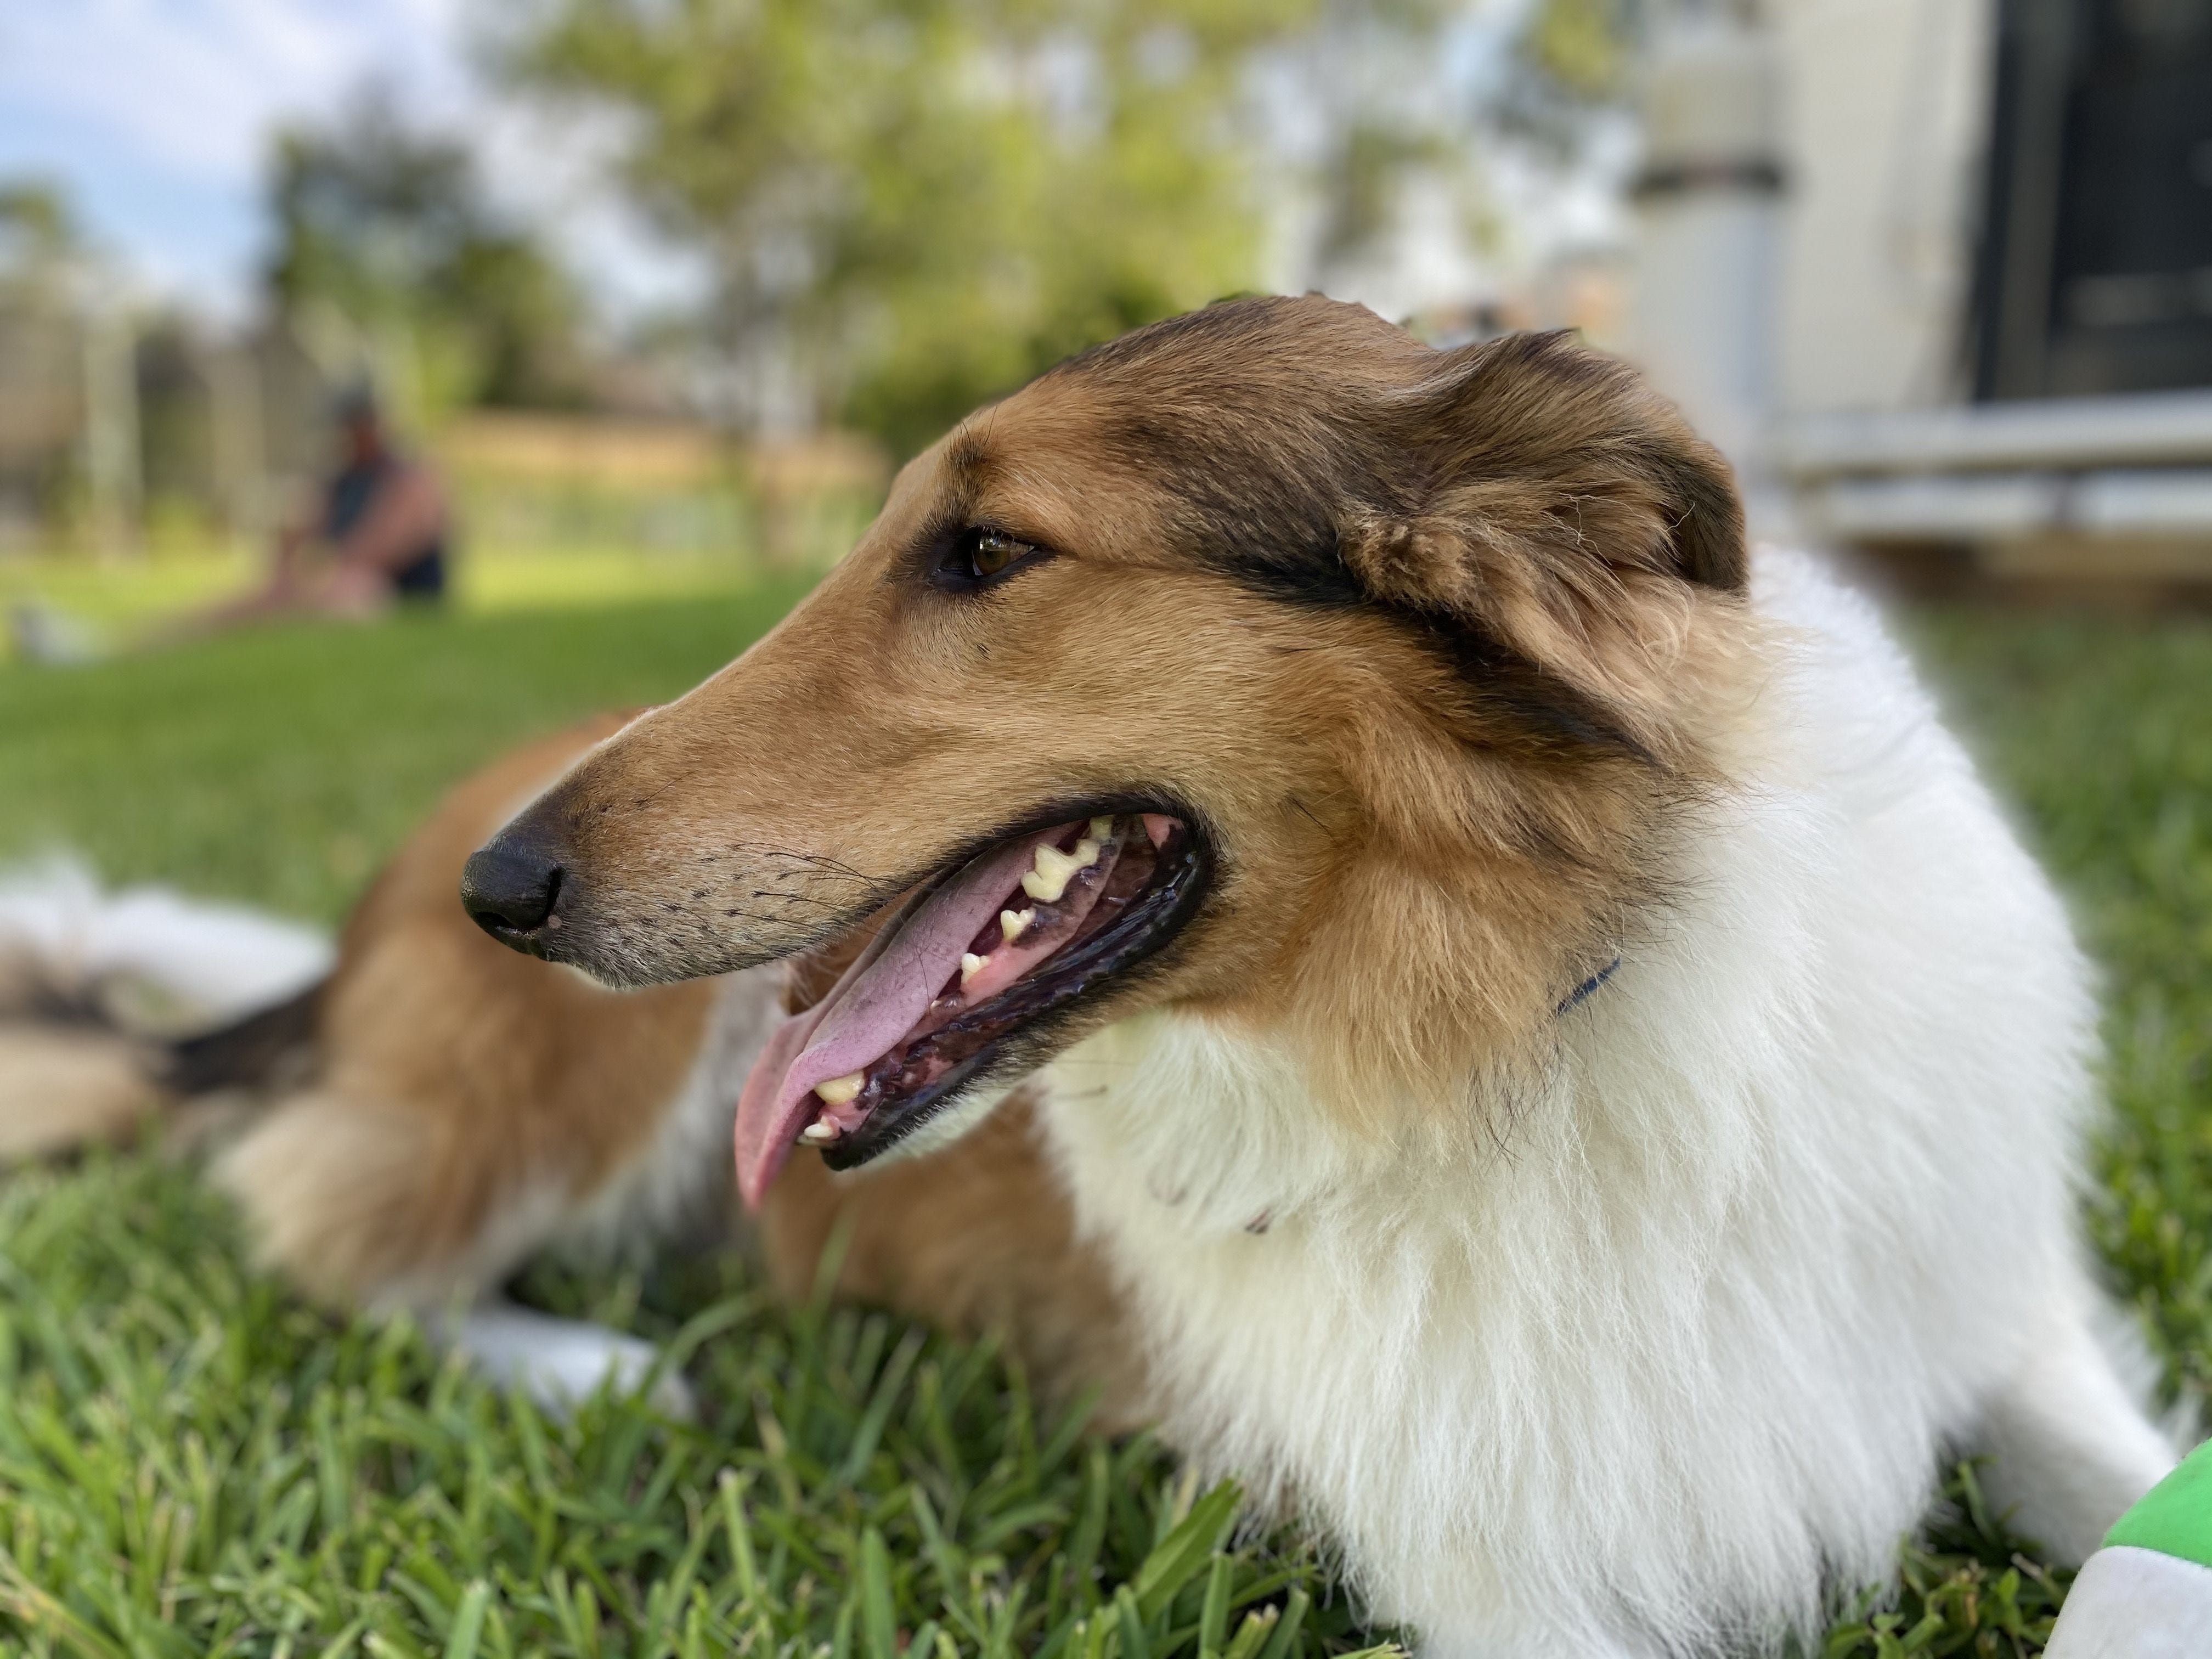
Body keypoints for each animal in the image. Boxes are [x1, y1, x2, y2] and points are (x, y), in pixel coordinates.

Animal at [453, 298, 2176, 1659]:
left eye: (989, 550)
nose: (503, 886)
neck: (1519, 1028)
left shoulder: (1982, 1308)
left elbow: (2141, 1504)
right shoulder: (1492, 1567)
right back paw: (595, 1372)